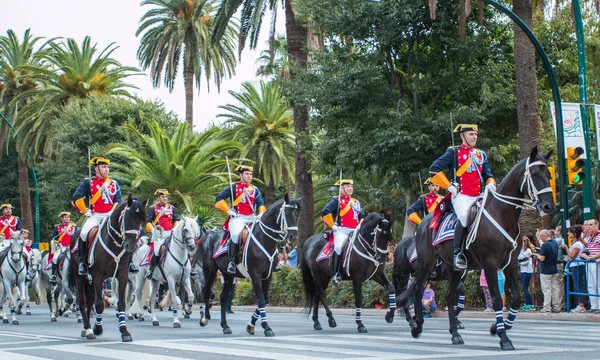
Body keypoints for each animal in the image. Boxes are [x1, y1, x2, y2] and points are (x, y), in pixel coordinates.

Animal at [66, 195, 146, 342]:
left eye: (141, 221)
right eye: (127, 218)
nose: (130, 246)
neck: (114, 242)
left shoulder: (122, 275)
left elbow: (121, 303)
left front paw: (124, 331)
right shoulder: (98, 275)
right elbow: (99, 304)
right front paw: (97, 329)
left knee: (89, 301)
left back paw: (86, 328)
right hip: (80, 276)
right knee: (82, 301)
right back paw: (88, 329)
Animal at [199, 195, 300, 336]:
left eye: (297, 214)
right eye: (287, 212)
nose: (292, 236)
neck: (264, 239)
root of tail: (209, 236)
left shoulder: (267, 275)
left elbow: (265, 299)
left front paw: (251, 325)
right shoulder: (255, 275)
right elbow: (261, 299)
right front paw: (266, 327)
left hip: (228, 276)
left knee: (223, 298)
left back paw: (225, 326)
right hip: (211, 271)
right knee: (206, 291)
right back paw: (205, 318)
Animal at [406, 148, 556, 350]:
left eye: (548, 175)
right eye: (533, 174)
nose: (548, 206)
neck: (501, 214)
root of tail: (425, 223)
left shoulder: (510, 264)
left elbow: (516, 298)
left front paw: (497, 327)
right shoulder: (490, 264)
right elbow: (497, 300)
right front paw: (503, 337)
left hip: (455, 269)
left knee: (450, 296)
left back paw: (455, 334)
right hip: (426, 265)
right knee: (418, 291)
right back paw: (417, 327)